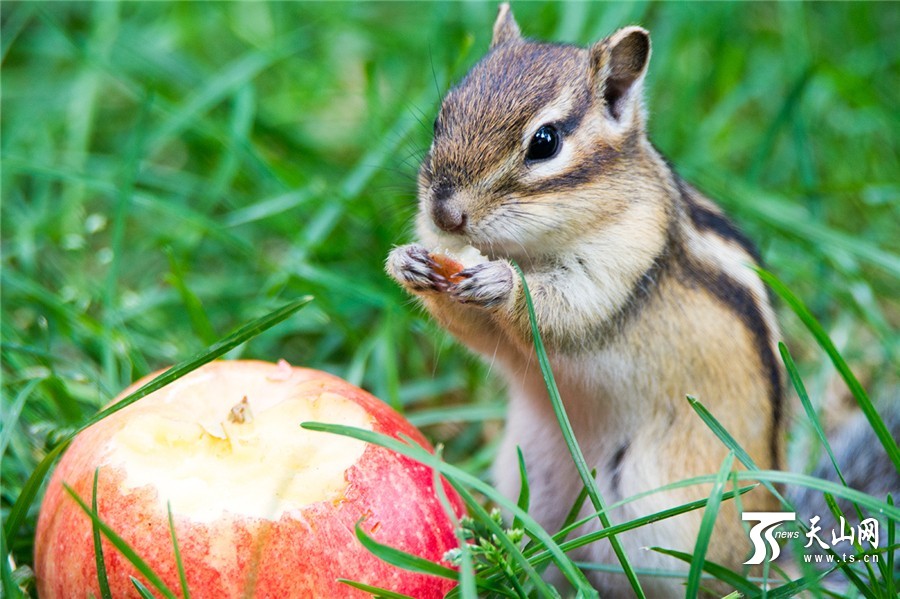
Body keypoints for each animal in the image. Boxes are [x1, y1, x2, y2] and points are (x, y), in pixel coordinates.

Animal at [387, 4, 785, 595]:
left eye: (545, 142)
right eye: (441, 118)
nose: (443, 215)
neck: (529, 248)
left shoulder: (622, 262)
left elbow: (567, 312)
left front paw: (503, 284)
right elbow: (474, 328)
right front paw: (407, 263)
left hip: (672, 522)